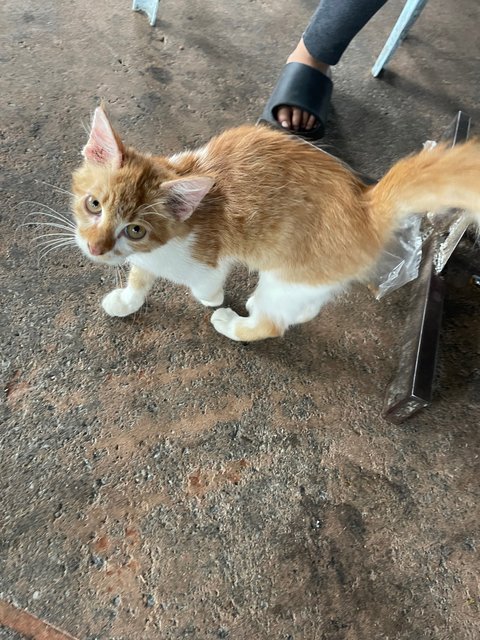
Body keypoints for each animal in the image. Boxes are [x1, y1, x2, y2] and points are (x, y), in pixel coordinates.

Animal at [71, 107, 480, 342]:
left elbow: (207, 283)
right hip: (306, 278)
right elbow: (139, 278)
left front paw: (210, 298)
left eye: (135, 229)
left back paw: (234, 324)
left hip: (290, 273)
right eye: (94, 205)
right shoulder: (145, 258)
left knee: (273, 322)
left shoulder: (207, 260)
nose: (95, 248)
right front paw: (127, 300)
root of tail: (365, 202)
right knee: (307, 304)